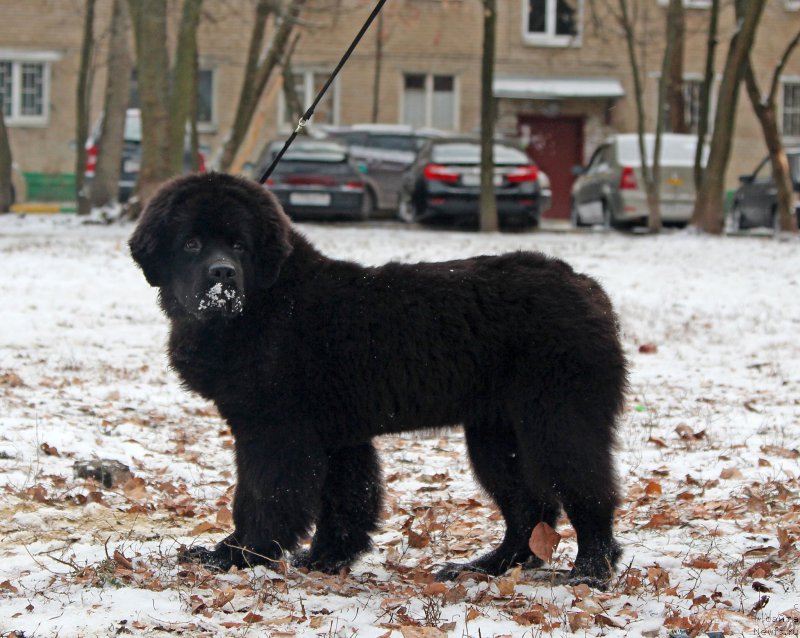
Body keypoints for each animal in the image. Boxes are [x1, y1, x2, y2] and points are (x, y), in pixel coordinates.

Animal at [131, 172, 628, 588]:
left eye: (239, 245)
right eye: (191, 244)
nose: (222, 273)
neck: (269, 303)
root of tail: (588, 289)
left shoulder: (275, 432)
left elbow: (263, 495)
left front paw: (236, 554)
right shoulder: (336, 436)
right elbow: (347, 499)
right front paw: (326, 559)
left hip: (558, 418)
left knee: (587, 491)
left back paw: (590, 570)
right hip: (496, 434)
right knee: (529, 508)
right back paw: (485, 567)